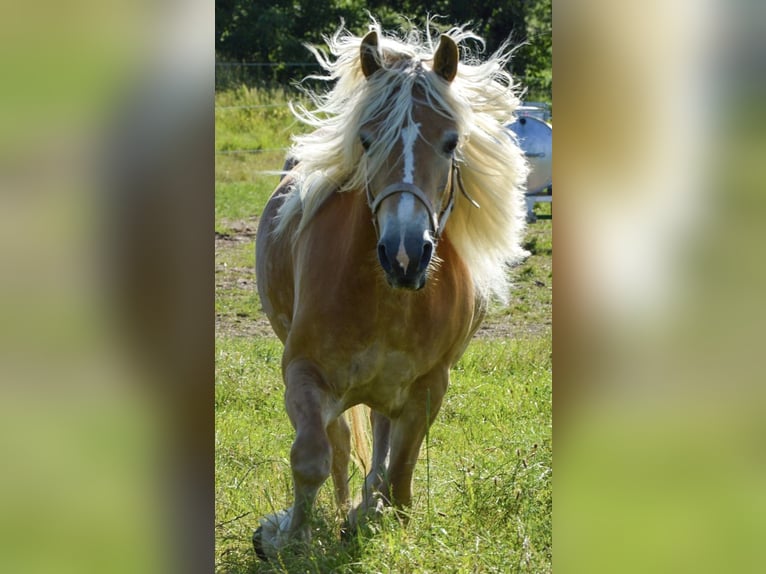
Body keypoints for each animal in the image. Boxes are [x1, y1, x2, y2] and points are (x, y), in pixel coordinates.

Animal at [253, 22, 529, 559]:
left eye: (451, 142)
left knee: (380, 442)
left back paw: (366, 506)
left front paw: (379, 519)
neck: (388, 301)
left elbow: (401, 472)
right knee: (340, 444)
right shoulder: (303, 372)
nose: (404, 255)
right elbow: (313, 456)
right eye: (365, 139)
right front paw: (289, 537)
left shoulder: (429, 387)